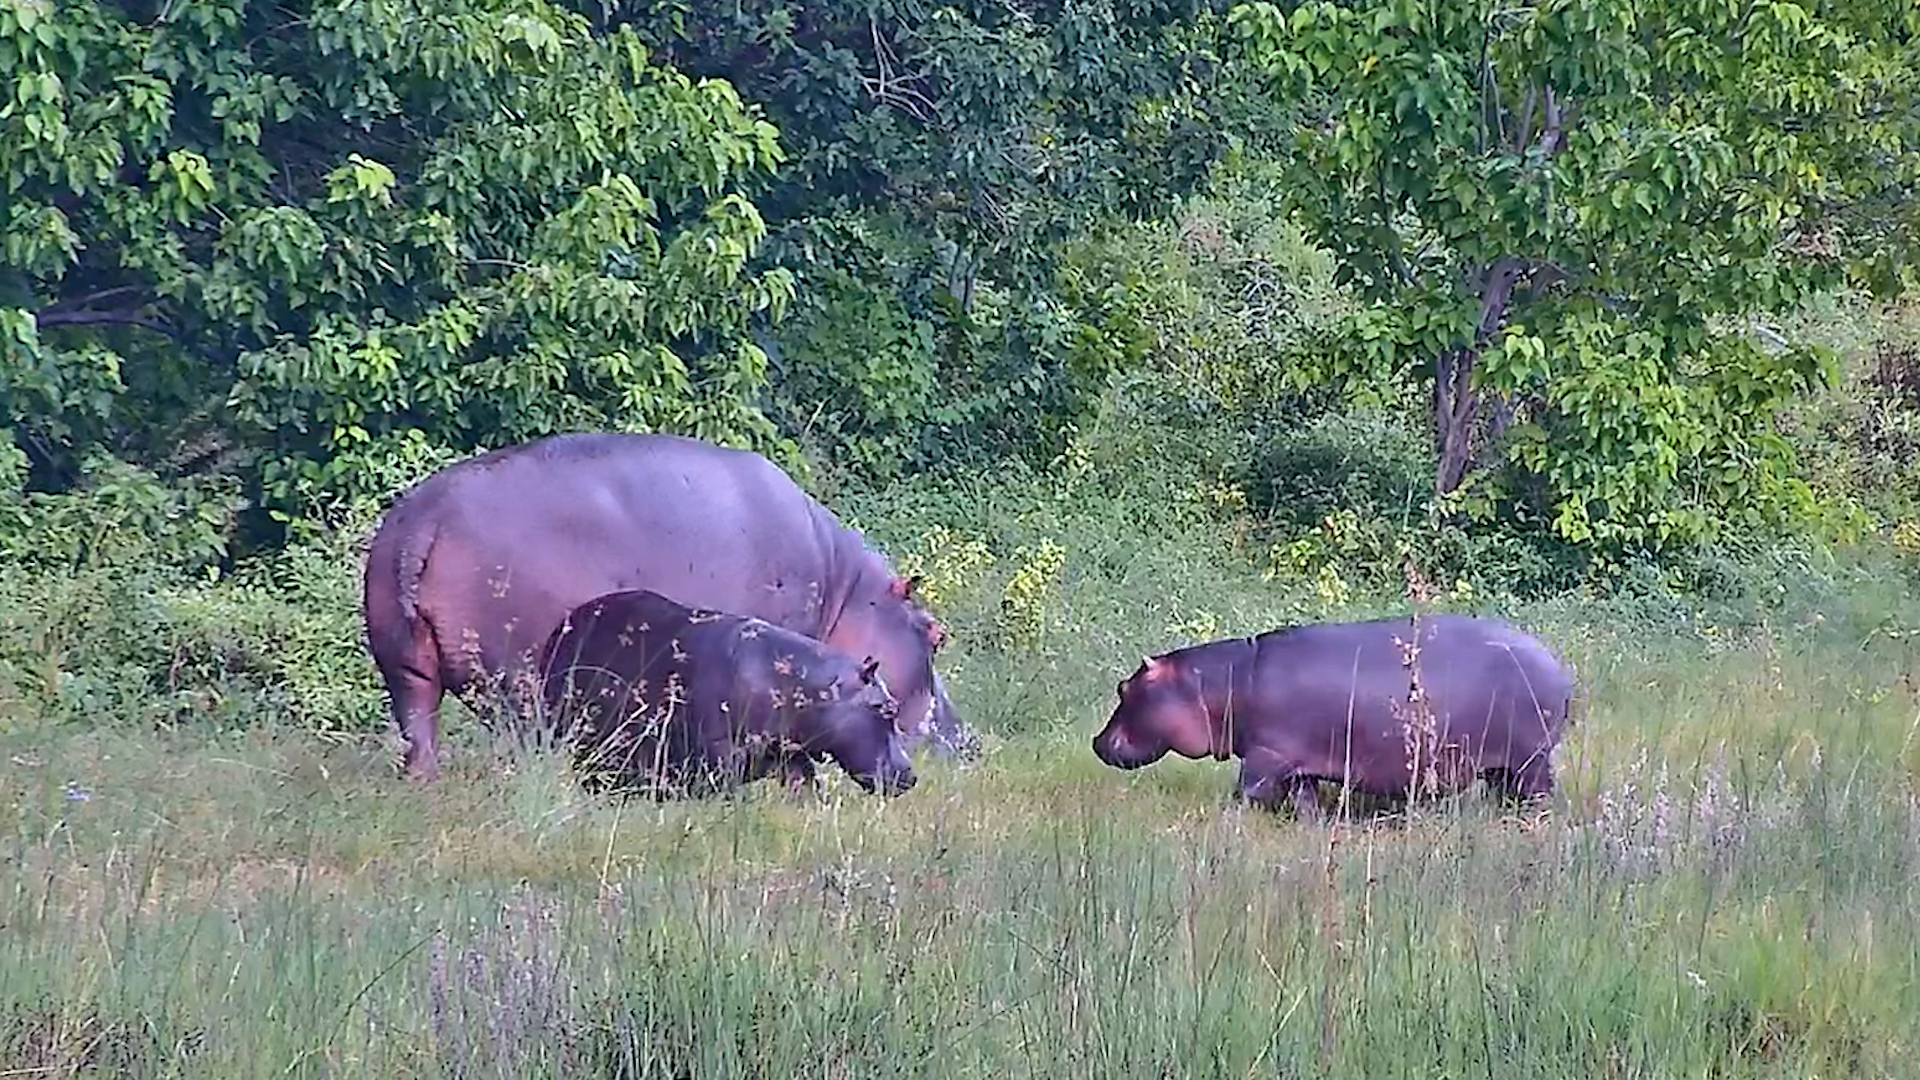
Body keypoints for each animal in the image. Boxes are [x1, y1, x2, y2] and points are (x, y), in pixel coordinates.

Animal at [536, 588, 917, 798]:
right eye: (886, 708)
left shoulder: (789, 757)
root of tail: (560, 628)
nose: (911, 775)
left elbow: (806, 789)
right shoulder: (720, 759)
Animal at [1091, 613, 1577, 820]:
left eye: (1123, 688)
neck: (1220, 685)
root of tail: (1558, 665)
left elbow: (1246, 793)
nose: (1096, 743)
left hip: (1531, 760)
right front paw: (1314, 824)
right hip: (1503, 767)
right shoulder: (1295, 761)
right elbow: (1303, 799)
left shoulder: (1265, 756)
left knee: (1537, 794)